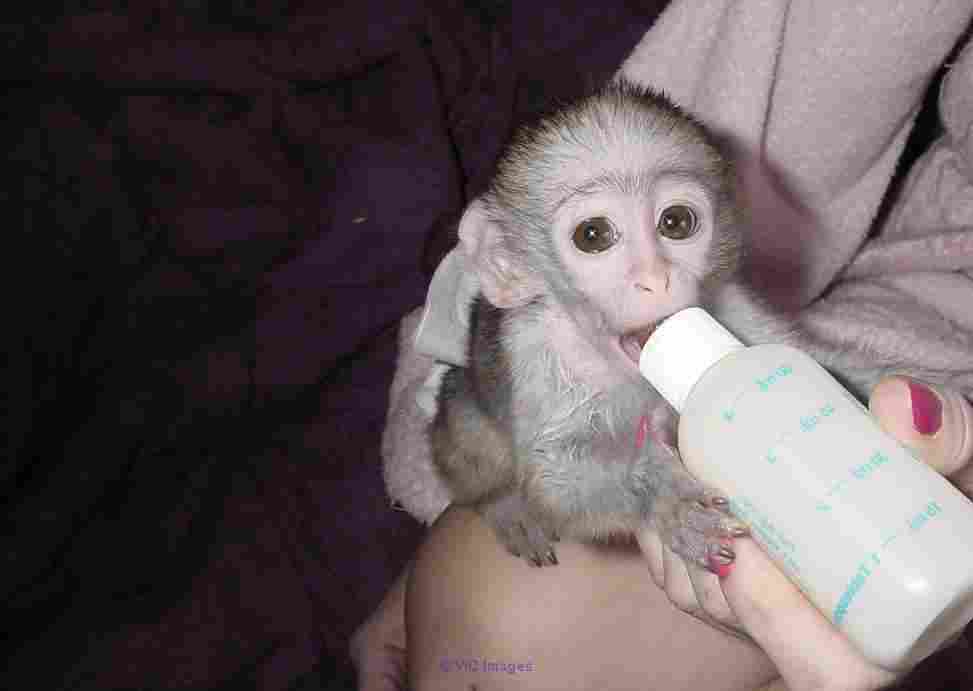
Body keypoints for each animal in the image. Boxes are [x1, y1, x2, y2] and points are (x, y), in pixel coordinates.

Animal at [429, 78, 933, 573]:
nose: (656, 278)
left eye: (675, 222)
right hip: (464, 406)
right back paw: (503, 508)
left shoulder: (727, 303)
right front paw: (664, 494)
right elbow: (553, 484)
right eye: (593, 235)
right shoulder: (537, 357)